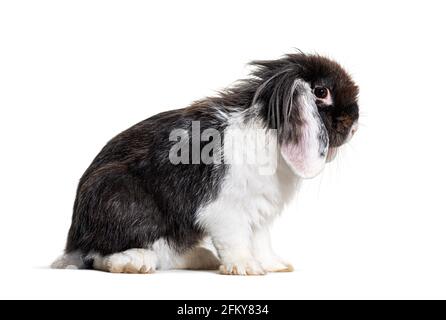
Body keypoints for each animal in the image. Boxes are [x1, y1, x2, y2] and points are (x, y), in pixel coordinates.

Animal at [52, 52, 358, 276]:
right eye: (321, 91)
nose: (354, 124)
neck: (269, 129)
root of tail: (74, 237)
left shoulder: (260, 213)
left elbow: (261, 242)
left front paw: (275, 266)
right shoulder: (225, 210)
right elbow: (235, 240)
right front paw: (246, 268)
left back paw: (201, 258)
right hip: (121, 200)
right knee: (100, 254)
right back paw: (135, 263)